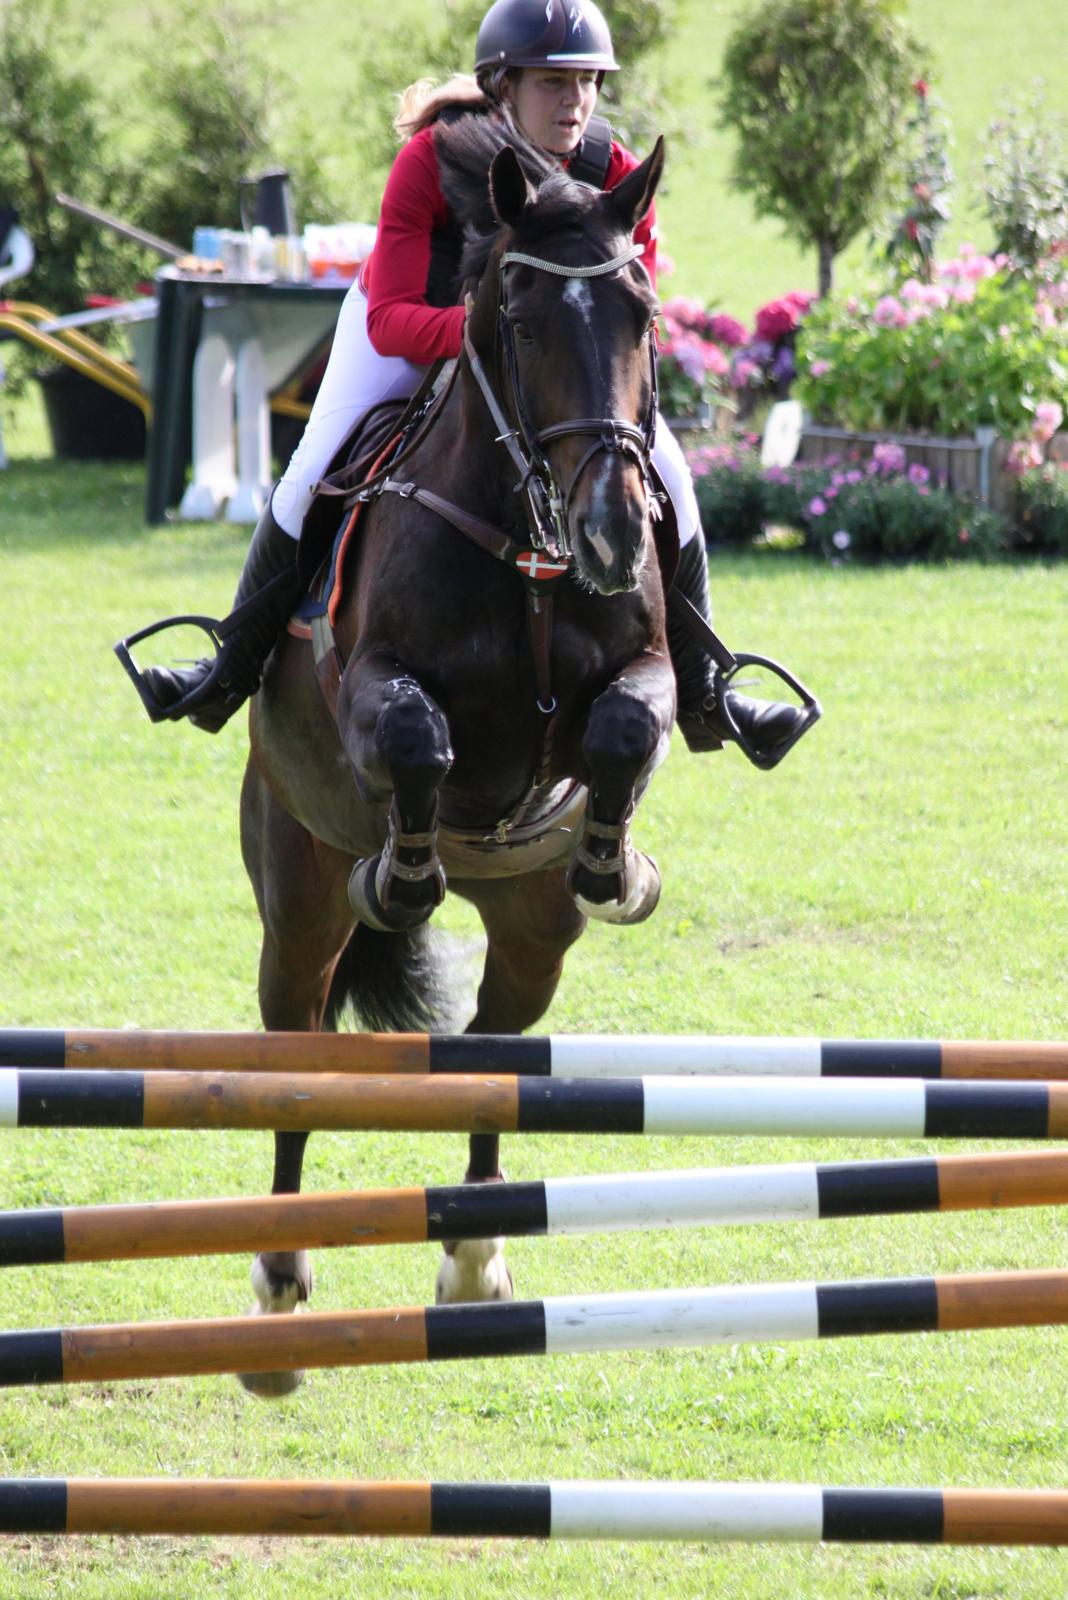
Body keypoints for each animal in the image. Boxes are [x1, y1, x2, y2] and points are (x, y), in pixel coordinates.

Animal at [237, 119, 675, 1396]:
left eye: (642, 313)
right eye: (521, 326)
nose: (613, 531)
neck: (528, 534)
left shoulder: (647, 671)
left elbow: (625, 729)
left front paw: (617, 861)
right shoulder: (369, 683)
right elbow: (415, 737)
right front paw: (407, 869)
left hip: (530, 925)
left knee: (492, 1044)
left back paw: (477, 1256)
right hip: (298, 887)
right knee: (294, 1045)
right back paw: (277, 1293)